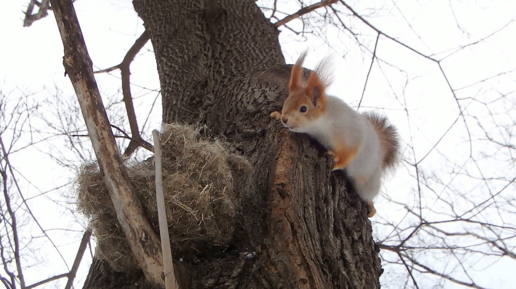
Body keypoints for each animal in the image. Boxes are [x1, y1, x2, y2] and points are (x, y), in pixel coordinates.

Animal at [270, 51, 400, 216]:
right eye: (286, 102)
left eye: (303, 108)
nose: (284, 119)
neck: (323, 123)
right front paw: (276, 114)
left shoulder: (352, 135)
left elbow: (349, 154)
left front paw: (337, 161)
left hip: (366, 180)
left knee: (368, 194)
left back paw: (371, 207)